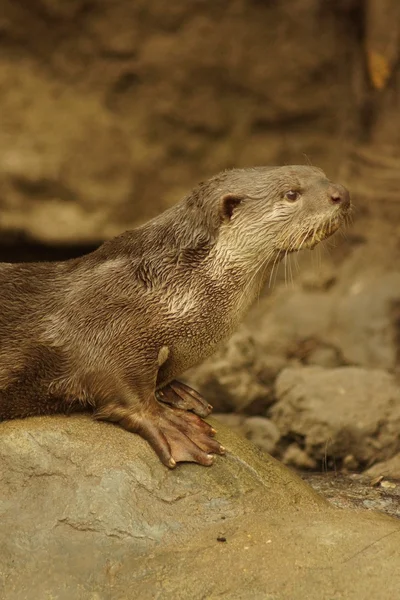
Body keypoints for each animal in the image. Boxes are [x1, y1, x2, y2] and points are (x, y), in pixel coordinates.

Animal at [0, 165, 350, 468]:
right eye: (291, 194)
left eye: (321, 173)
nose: (341, 192)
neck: (173, 287)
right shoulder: (105, 323)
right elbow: (119, 383)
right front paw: (174, 427)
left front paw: (179, 393)